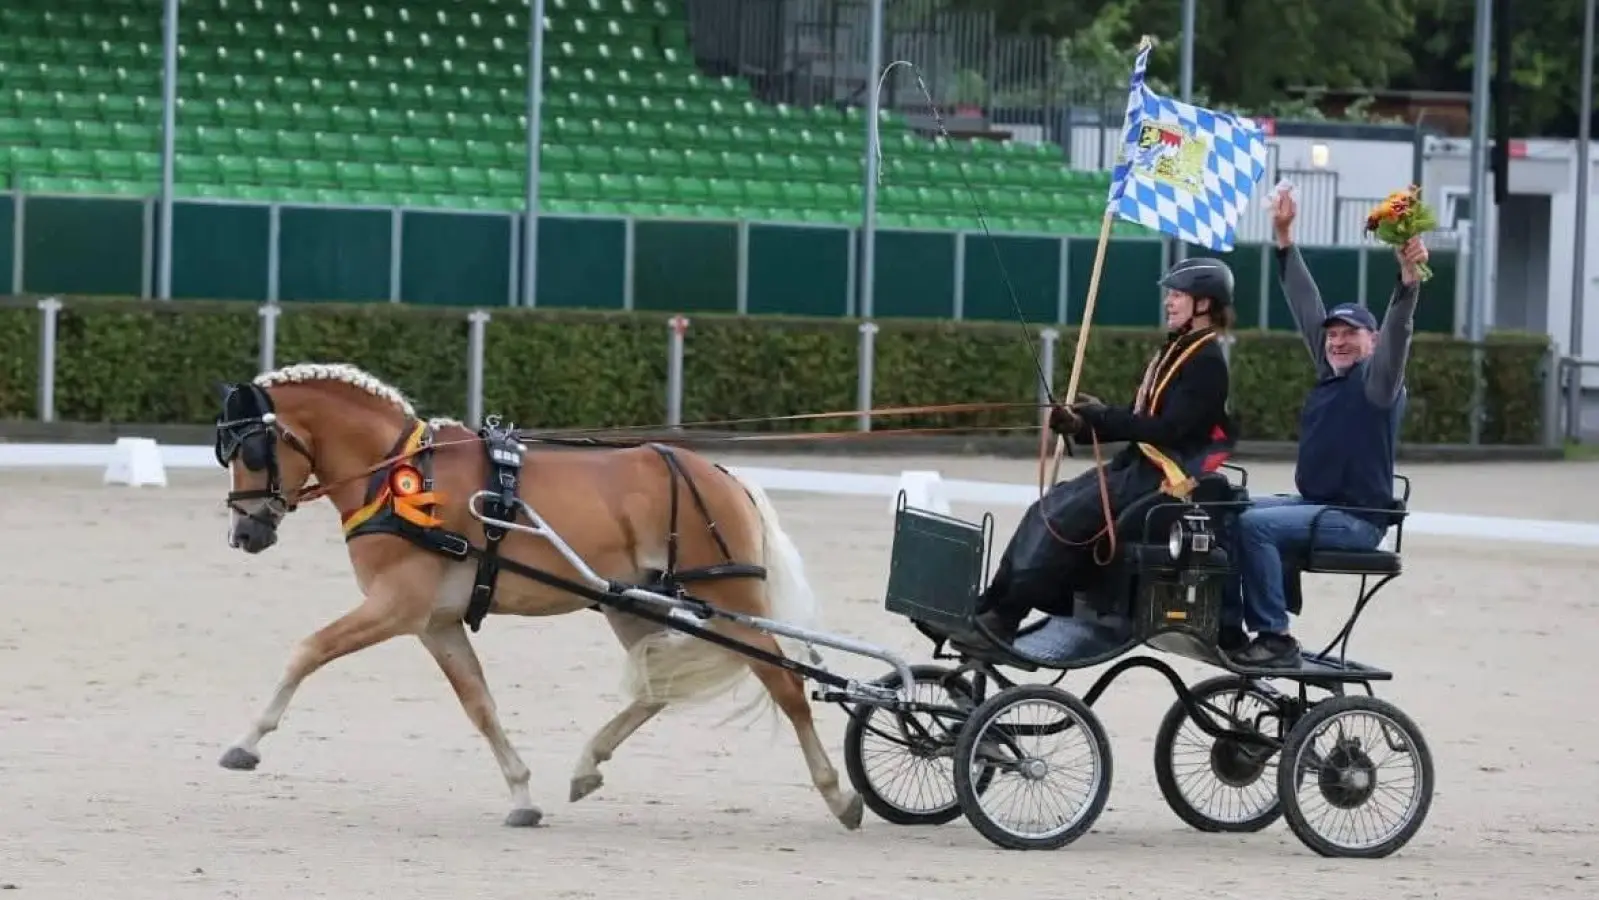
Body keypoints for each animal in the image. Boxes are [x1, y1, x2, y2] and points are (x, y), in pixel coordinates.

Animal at [210, 361, 864, 831]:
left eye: (251, 451)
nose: (245, 533)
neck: (399, 476)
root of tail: (724, 475)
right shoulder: (435, 622)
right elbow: (479, 704)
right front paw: (522, 794)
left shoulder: (395, 608)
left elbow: (307, 651)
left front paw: (245, 744)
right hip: (634, 604)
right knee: (657, 685)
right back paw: (587, 767)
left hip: (733, 605)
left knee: (786, 685)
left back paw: (839, 795)